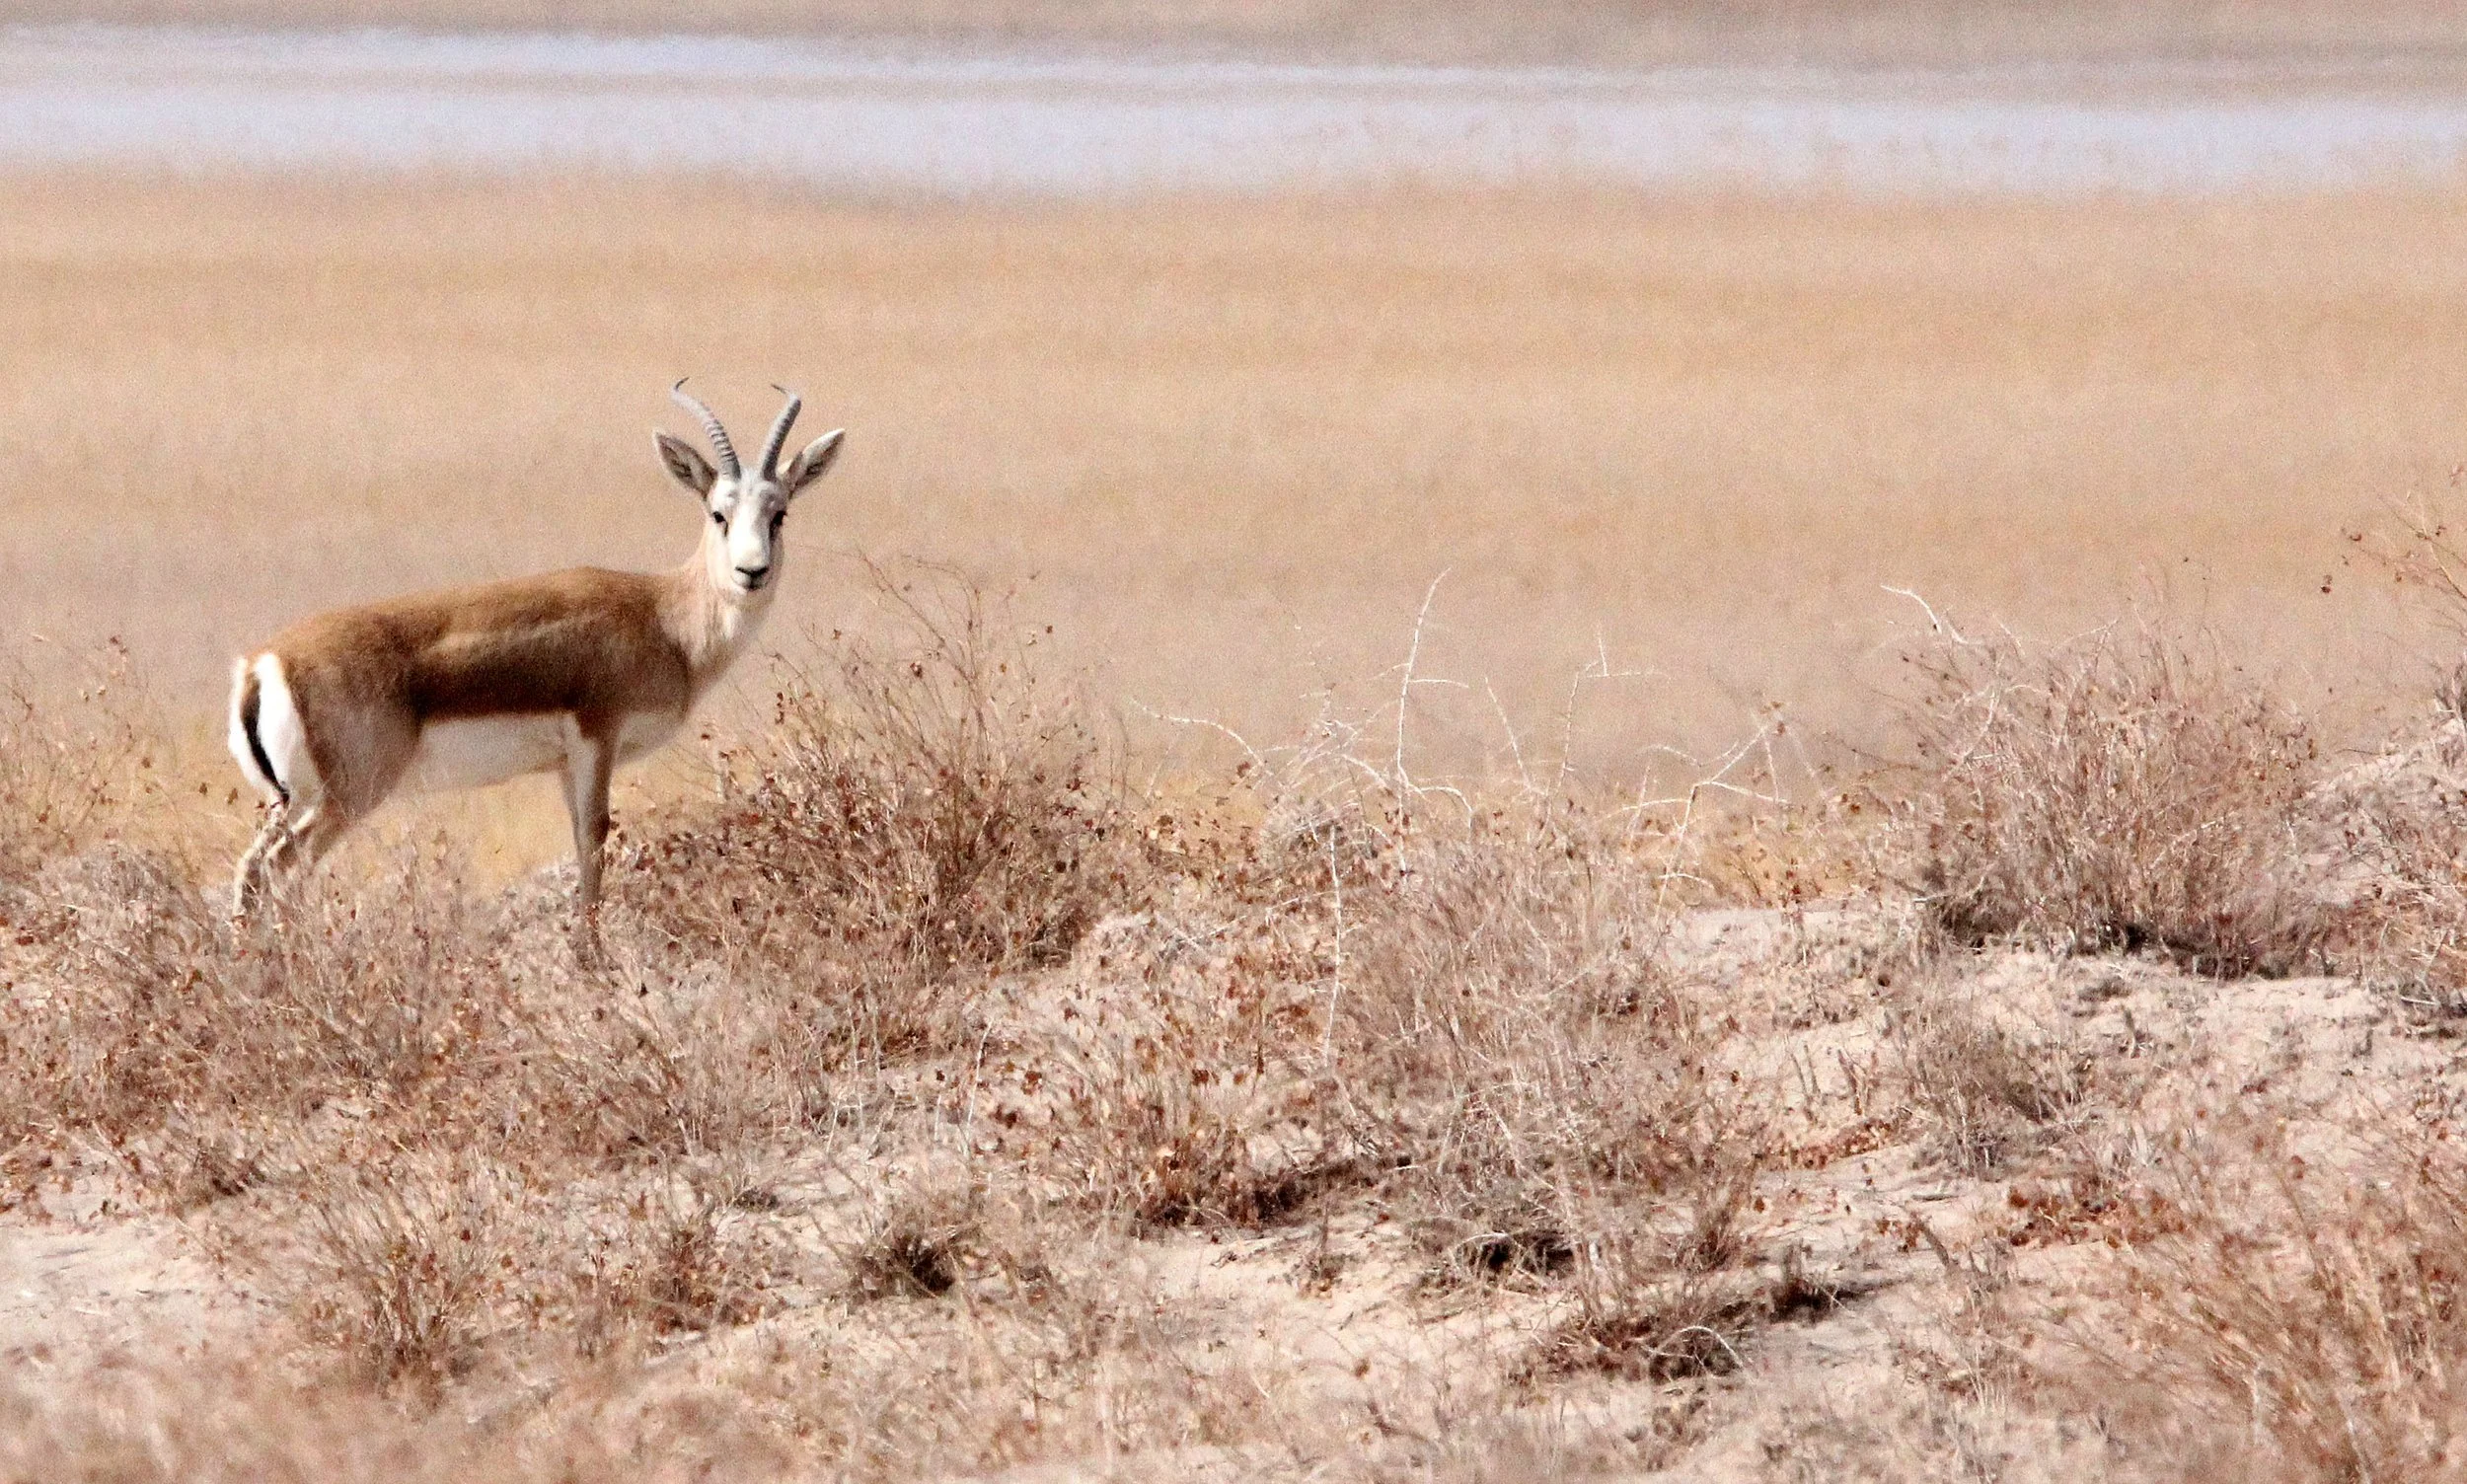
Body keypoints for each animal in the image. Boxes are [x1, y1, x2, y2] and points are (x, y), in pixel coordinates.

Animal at [227, 382, 843, 923]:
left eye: (779, 513)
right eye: (719, 513)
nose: (751, 571)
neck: (663, 618)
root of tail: (265, 664)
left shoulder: (566, 763)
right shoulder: (597, 738)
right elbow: (594, 842)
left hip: (291, 802)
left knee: (252, 872)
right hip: (346, 797)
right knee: (279, 871)